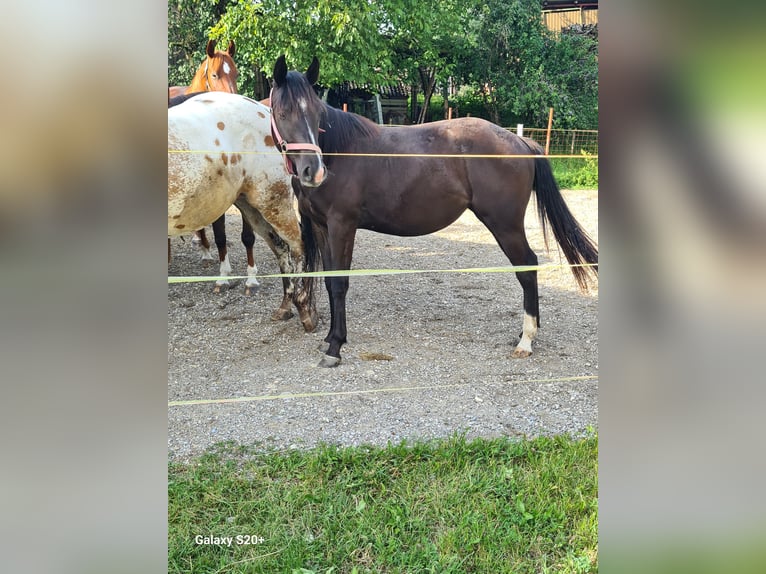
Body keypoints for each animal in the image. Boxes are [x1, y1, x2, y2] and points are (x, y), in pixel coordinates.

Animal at [170, 91, 318, 330]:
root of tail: (265, 110)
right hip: (251, 207)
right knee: (280, 248)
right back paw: (286, 306)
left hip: (273, 202)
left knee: (297, 245)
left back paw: (303, 308)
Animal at [270, 55, 600, 368]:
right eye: (282, 113)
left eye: (316, 114)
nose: (313, 171)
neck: (340, 151)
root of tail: (520, 140)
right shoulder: (321, 227)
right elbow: (328, 281)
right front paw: (328, 339)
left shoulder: (342, 225)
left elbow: (339, 283)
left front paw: (336, 347)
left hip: (505, 225)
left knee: (527, 267)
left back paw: (526, 340)